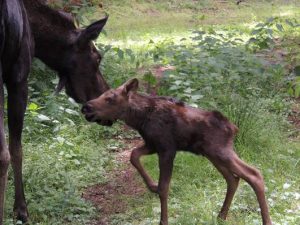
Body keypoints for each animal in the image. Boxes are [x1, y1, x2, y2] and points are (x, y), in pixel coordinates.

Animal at [81, 78, 272, 224]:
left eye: (110, 98)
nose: (86, 107)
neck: (139, 120)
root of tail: (234, 128)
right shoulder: (152, 144)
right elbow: (133, 155)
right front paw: (151, 185)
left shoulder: (167, 148)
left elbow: (164, 188)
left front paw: (163, 220)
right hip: (213, 154)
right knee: (233, 179)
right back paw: (221, 216)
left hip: (221, 152)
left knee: (254, 174)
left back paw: (265, 220)